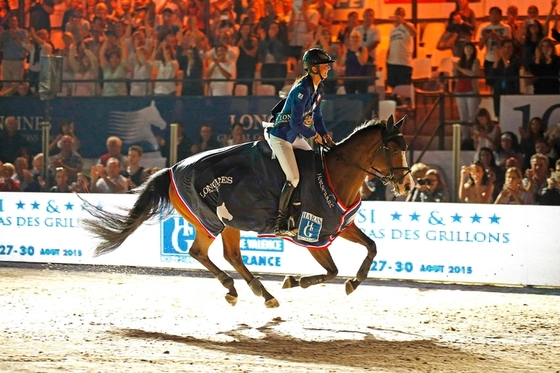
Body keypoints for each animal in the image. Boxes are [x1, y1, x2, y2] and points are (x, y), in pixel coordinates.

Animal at [81, 116, 414, 308]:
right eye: (393, 149)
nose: (408, 184)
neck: (335, 174)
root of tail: (172, 168)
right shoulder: (312, 235)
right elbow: (331, 270)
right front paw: (294, 281)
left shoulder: (340, 226)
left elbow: (371, 247)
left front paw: (354, 282)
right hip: (210, 221)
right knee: (201, 252)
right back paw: (244, 290)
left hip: (228, 223)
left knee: (226, 256)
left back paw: (255, 292)